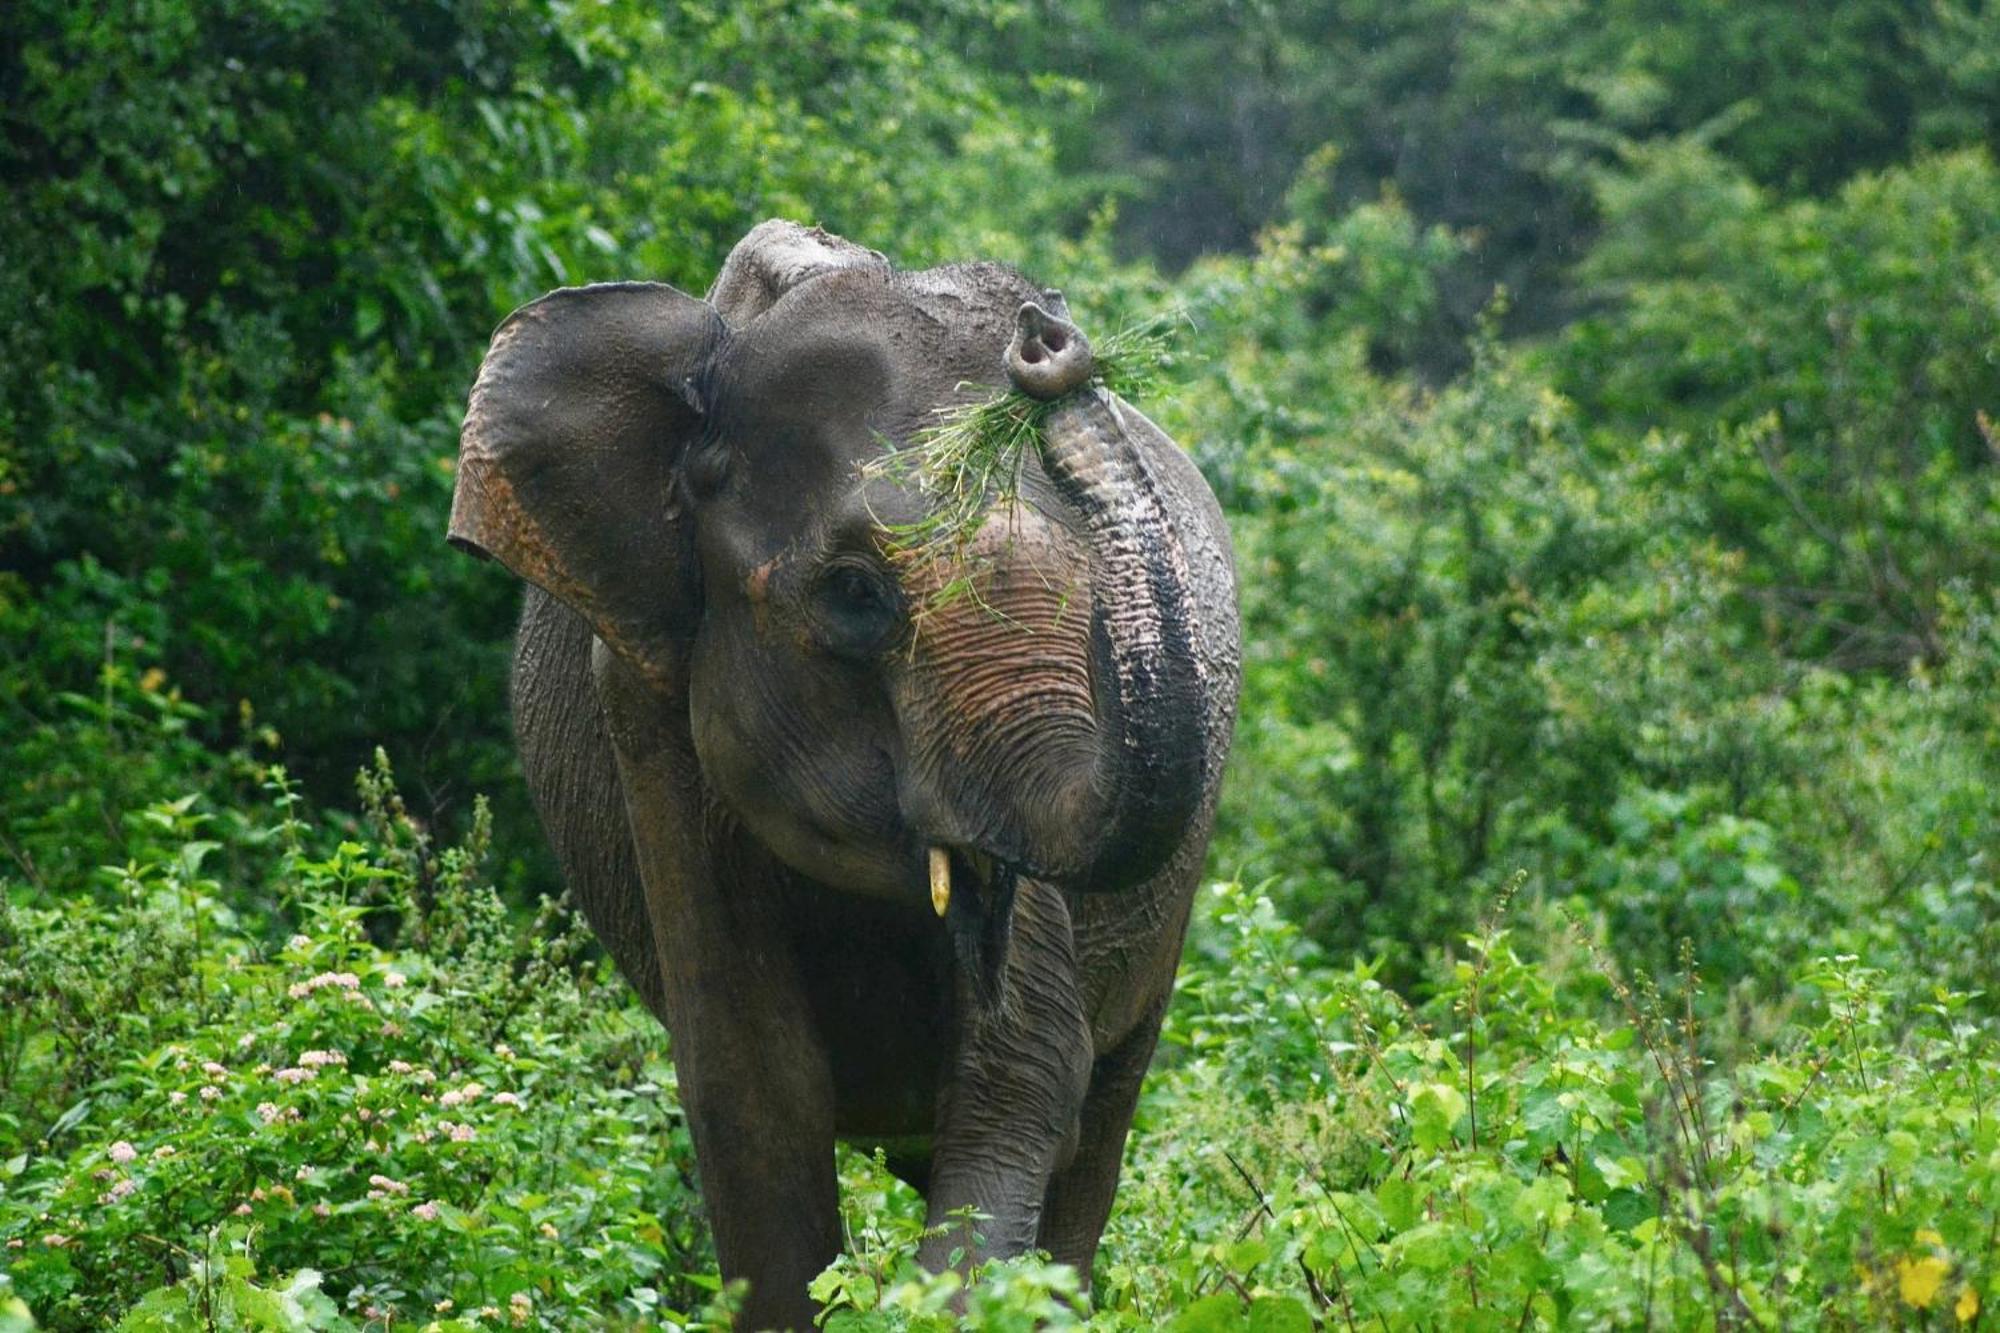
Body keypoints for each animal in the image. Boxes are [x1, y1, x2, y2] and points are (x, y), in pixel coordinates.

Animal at [452, 218, 1232, 1320]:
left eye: (1089, 602)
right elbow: (753, 1086)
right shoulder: (643, 704)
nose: (1046, 339)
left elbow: (1025, 1068)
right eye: (857, 594)